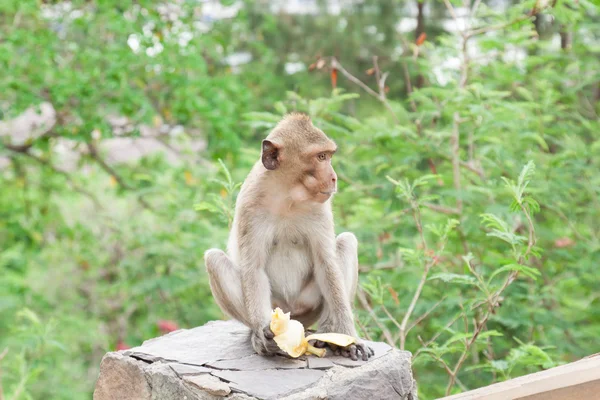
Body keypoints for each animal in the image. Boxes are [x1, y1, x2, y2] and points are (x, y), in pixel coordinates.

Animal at [206, 113, 376, 362]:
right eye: (321, 157)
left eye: (328, 156)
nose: (334, 178)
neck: (288, 196)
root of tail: (295, 318)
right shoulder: (250, 206)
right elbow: (253, 269)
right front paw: (263, 333)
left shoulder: (320, 208)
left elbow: (326, 264)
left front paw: (349, 340)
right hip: (276, 306)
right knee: (214, 259)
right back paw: (257, 336)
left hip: (308, 306)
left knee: (346, 242)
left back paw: (329, 332)